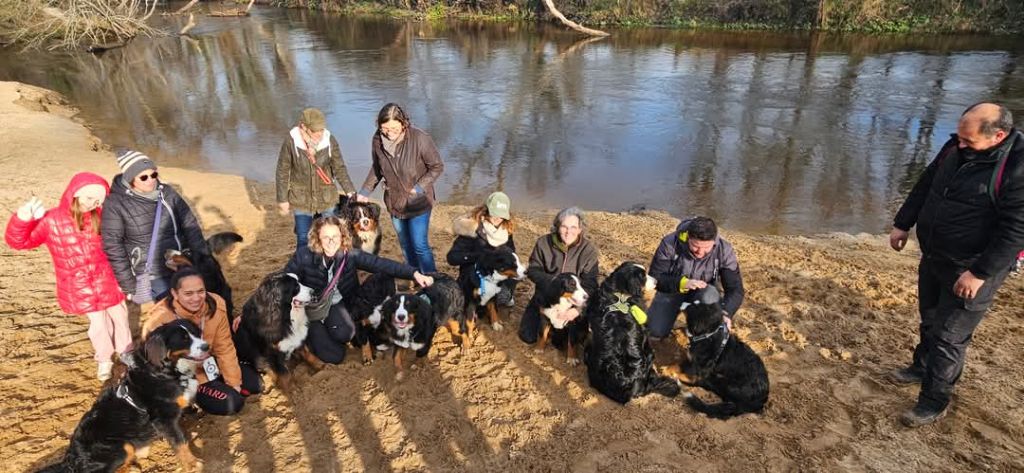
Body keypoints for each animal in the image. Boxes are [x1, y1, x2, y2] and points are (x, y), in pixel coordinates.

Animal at [36, 317, 209, 473]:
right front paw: (192, 464)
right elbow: (180, 442)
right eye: (184, 339)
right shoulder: (164, 419)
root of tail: (70, 460)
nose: (206, 346)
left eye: (196, 333)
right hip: (121, 447)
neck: (165, 372)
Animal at [671, 284, 770, 417]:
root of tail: (761, 400)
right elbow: (678, 364)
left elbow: (685, 375)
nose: (680, 303)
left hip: (728, 384)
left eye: (693, 306)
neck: (707, 335)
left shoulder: (698, 371)